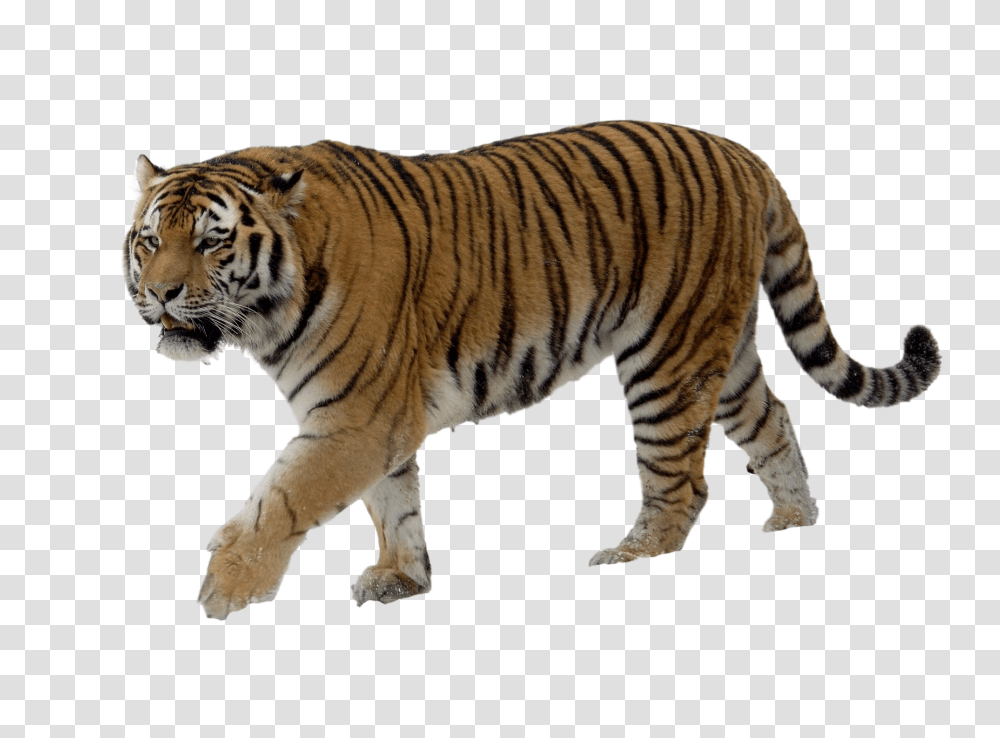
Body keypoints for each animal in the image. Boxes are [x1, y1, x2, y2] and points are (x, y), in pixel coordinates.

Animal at [123, 121, 941, 620]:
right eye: (149, 240)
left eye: (210, 242)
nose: (159, 293)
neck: (269, 311)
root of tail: (747, 156)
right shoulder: (373, 420)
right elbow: (394, 503)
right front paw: (403, 579)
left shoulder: (356, 417)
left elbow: (283, 500)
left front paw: (226, 590)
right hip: (721, 347)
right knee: (773, 420)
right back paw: (793, 524)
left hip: (667, 357)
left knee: (683, 480)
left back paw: (632, 560)